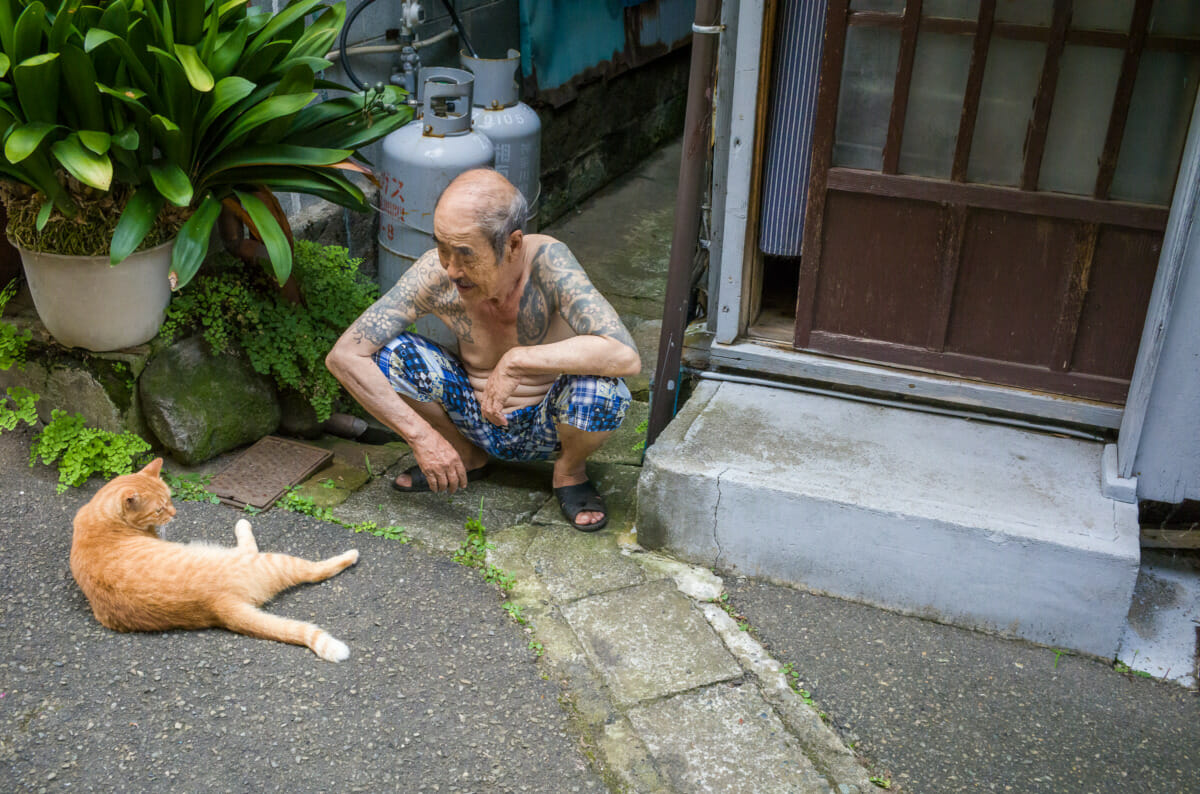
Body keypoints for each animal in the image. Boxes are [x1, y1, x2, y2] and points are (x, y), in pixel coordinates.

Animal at [69, 458, 357, 662]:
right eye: (159, 509)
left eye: (170, 498)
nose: (175, 513)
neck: (102, 518)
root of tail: (216, 605)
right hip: (267, 561)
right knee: (313, 570)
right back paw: (350, 555)